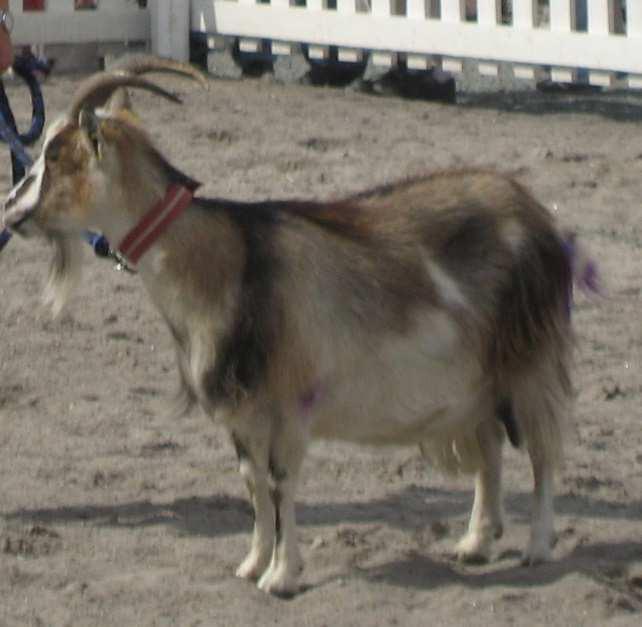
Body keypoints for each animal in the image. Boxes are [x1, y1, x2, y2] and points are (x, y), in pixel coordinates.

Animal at [2, 55, 580, 600]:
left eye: (57, 155)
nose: (10, 208)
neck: (229, 261)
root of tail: (536, 215)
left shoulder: (287, 404)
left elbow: (281, 484)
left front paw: (281, 577)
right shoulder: (242, 414)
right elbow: (252, 483)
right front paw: (252, 564)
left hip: (529, 360)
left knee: (542, 451)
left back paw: (537, 548)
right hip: (477, 379)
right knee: (490, 446)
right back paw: (476, 542)